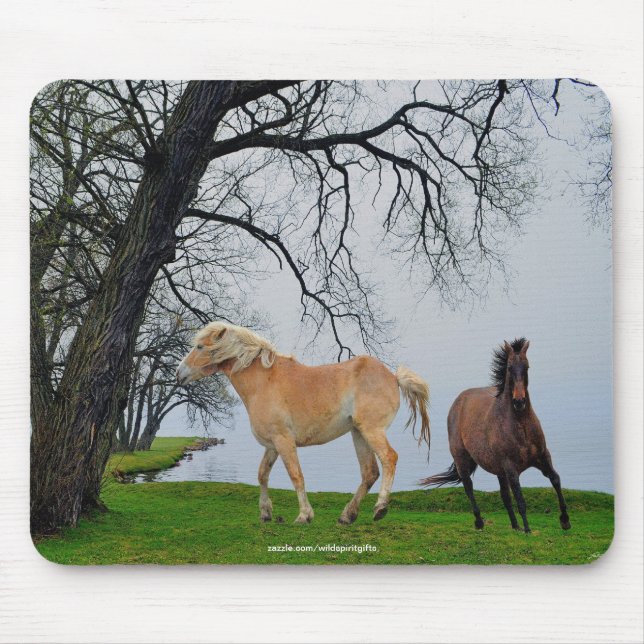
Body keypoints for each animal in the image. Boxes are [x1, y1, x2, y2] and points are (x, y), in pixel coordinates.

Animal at [176, 321, 431, 524]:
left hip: (372, 431)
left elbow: (296, 475)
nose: (179, 373)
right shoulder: (272, 445)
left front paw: (304, 516)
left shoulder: (284, 441)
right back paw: (347, 516)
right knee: (369, 473)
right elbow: (262, 474)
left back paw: (379, 508)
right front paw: (266, 513)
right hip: (358, 433)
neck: (263, 382)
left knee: (389, 459)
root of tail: (393, 377)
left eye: (200, 347)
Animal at [421, 338, 570, 533]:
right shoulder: (511, 467)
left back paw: (515, 526)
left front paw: (565, 520)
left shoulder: (543, 457)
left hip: (499, 471)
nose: (519, 401)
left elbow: (556, 480)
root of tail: (458, 402)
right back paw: (479, 522)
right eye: (509, 368)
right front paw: (528, 530)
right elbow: (520, 499)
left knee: (504, 496)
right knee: (468, 487)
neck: (521, 426)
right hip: (463, 460)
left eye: (527, 367)